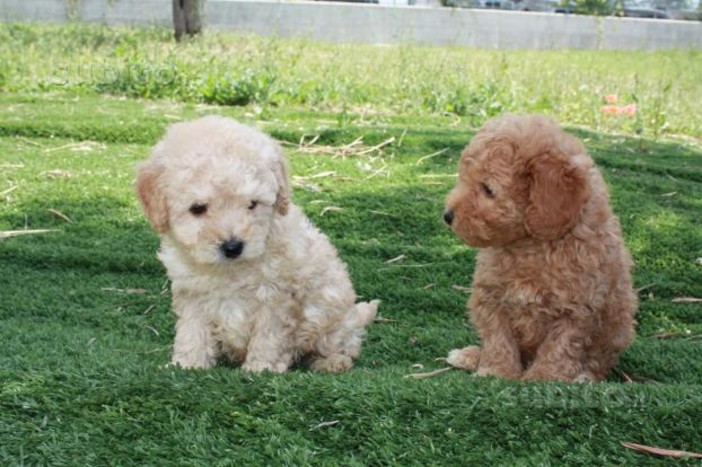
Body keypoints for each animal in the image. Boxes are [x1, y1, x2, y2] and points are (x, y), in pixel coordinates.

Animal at [137, 116, 380, 372]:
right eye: (198, 208)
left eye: (252, 204)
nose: (233, 246)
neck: (230, 271)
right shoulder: (192, 293)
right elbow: (193, 331)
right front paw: (188, 364)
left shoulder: (276, 296)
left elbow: (269, 336)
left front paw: (261, 368)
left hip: (333, 318)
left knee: (344, 342)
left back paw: (332, 361)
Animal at [446, 115, 640, 382]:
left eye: (488, 189)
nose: (447, 215)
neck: (530, 246)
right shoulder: (491, 297)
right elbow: (498, 339)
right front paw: (496, 371)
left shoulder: (579, 308)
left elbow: (559, 345)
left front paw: (543, 377)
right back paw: (469, 355)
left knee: (597, 362)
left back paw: (584, 377)